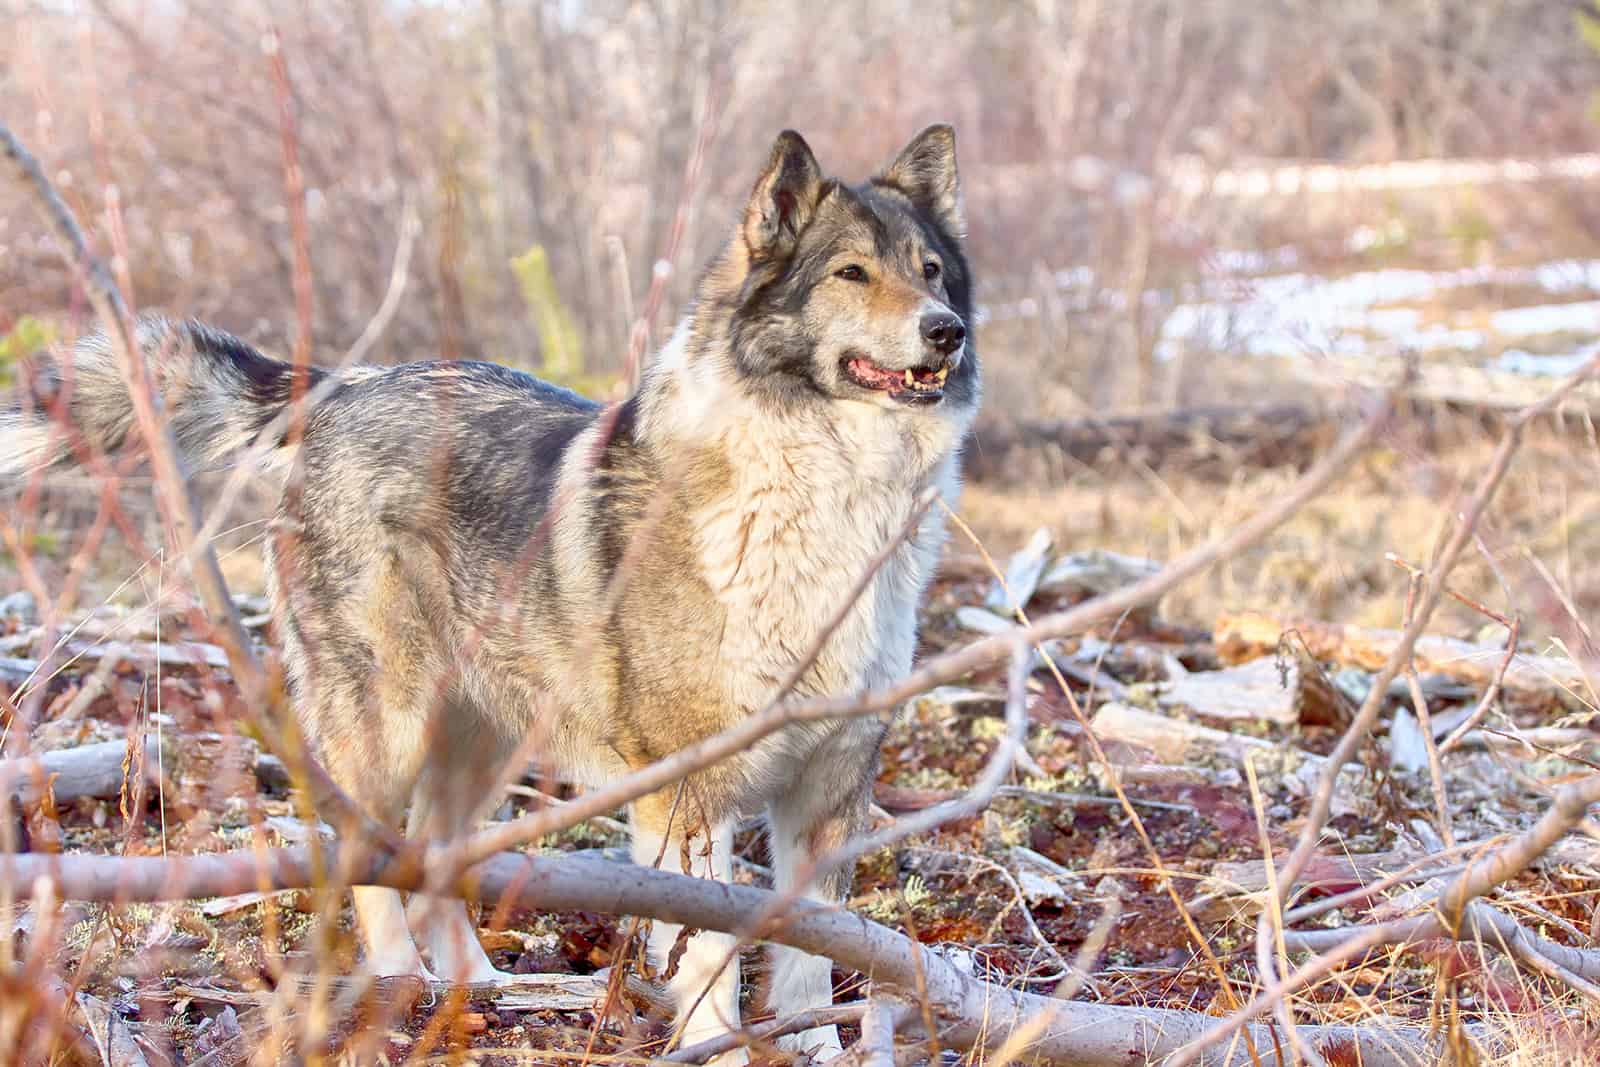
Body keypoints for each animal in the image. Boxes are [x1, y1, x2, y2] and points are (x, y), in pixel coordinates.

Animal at [3, 127, 972, 1062]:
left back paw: (482, 985)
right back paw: (404, 979)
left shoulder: (829, 787)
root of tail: (345, 384)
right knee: (373, 859)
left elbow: (814, 952)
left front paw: (820, 1045)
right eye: (851, 273)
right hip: (389, 731)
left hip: (487, 743)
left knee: (436, 857)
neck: (833, 495)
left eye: (930, 270)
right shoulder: (688, 797)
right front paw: (719, 1048)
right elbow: (707, 959)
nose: (948, 330)